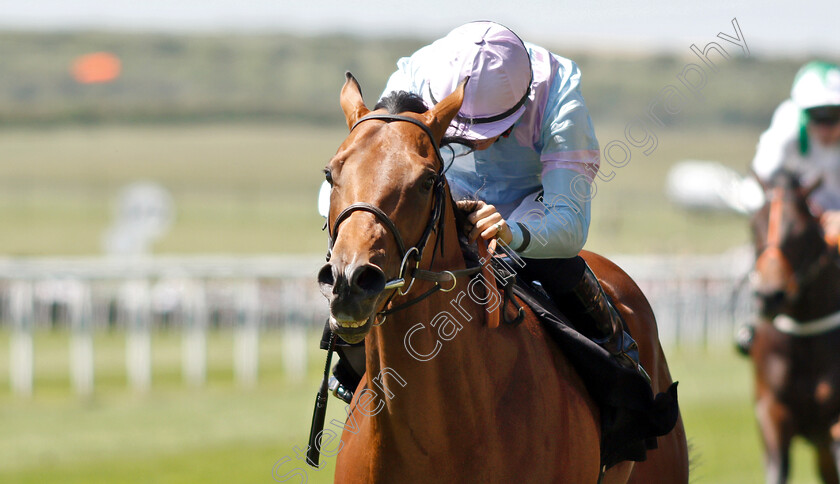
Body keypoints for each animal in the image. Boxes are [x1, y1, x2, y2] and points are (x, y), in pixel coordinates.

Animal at [752, 172, 840, 484]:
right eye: (753, 224)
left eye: (802, 231)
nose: (769, 296)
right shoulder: (771, 411)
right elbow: (778, 467)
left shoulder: (834, 423)